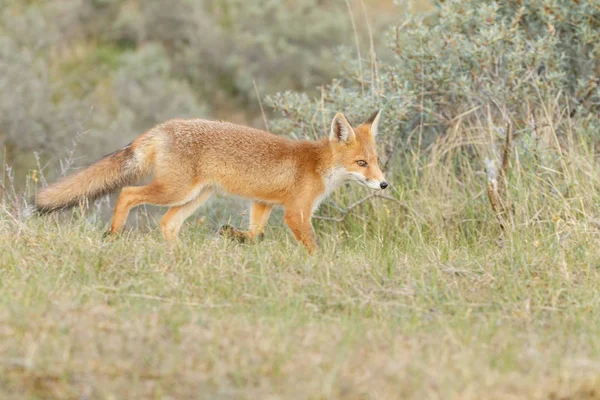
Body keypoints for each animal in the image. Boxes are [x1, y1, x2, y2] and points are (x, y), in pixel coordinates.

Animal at [34, 111, 390, 252]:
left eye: (377, 162)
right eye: (361, 163)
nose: (384, 185)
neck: (317, 165)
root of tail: (163, 127)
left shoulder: (263, 203)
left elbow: (256, 234)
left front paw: (234, 235)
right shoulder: (295, 212)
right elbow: (314, 246)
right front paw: (324, 264)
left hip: (195, 197)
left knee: (167, 223)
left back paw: (180, 255)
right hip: (174, 191)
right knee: (128, 193)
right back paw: (113, 234)